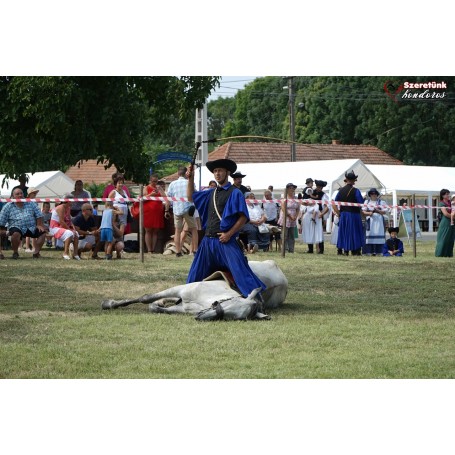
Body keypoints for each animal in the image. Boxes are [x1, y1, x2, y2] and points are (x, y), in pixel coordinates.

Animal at [103, 262, 288, 322]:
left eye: (232, 317)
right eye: (231, 303)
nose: (201, 317)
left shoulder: (181, 309)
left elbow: (154, 307)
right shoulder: (180, 289)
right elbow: (145, 298)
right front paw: (110, 303)